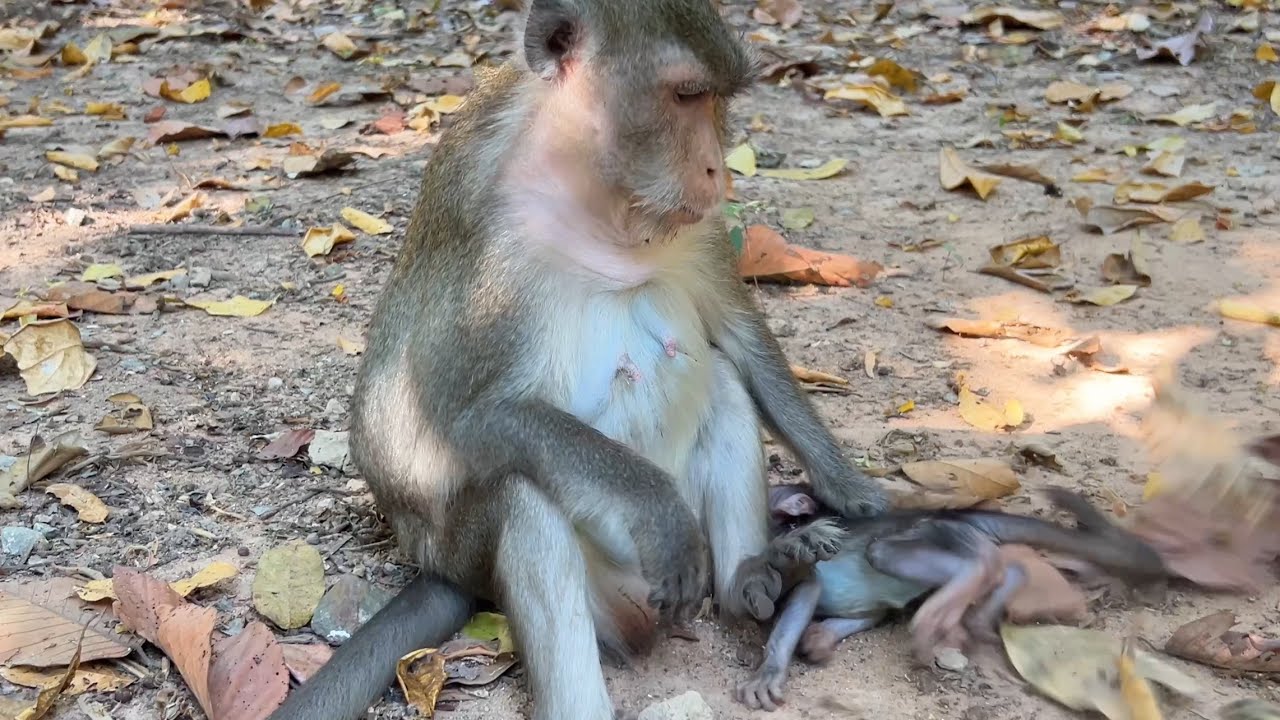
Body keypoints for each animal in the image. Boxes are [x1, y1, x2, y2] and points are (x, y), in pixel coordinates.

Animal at [269, 2, 887, 719]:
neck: (596, 196)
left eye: (717, 100)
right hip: (526, 571)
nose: (717, 171)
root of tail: (441, 568)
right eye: (686, 95)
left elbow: (739, 339)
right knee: (520, 496)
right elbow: (460, 417)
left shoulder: (696, 226)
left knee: (724, 380)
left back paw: (746, 582)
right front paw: (657, 508)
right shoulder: (487, 256)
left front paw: (849, 487)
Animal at [735, 483, 1169, 712]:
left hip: (934, 532)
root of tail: (955, 514)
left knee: (899, 554)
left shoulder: (790, 556)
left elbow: (807, 585)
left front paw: (768, 670)